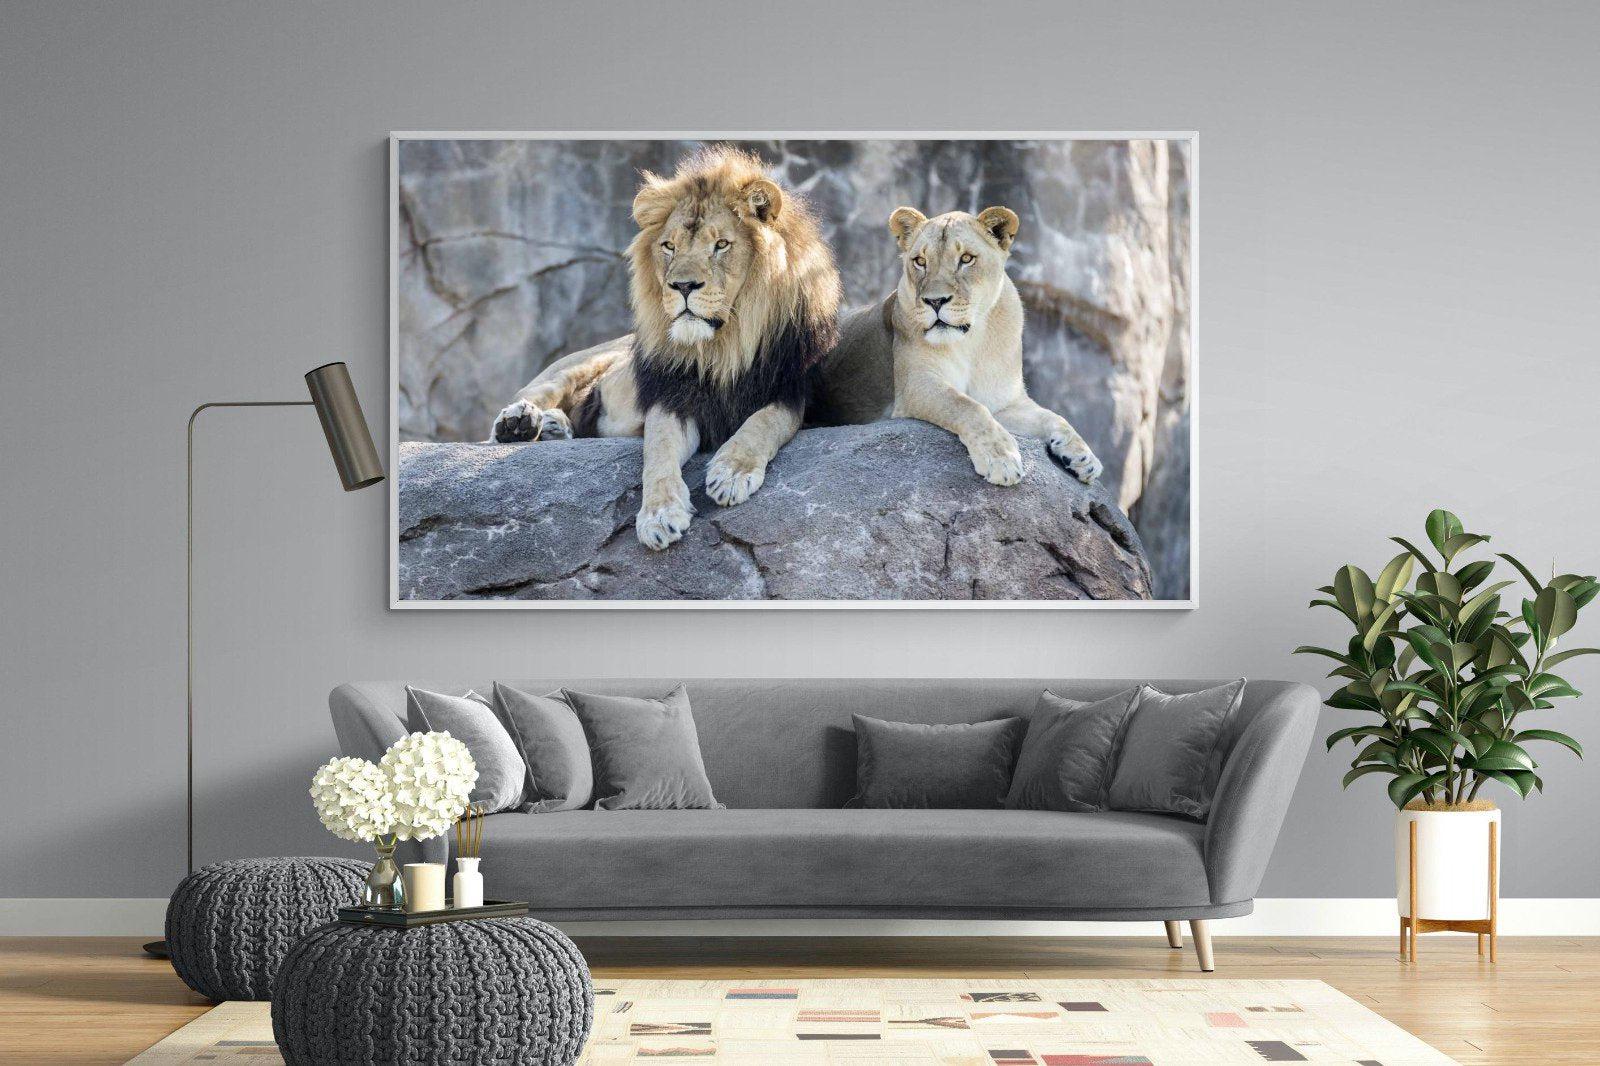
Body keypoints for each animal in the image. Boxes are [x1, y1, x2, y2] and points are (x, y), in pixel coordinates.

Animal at [490, 147, 841, 550]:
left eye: (721, 245)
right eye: (669, 246)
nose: (682, 286)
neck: (723, 347)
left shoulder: (791, 392)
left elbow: (764, 422)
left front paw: (731, 473)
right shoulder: (671, 397)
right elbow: (657, 451)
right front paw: (659, 515)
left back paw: (553, 426)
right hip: (575, 365)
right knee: (530, 397)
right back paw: (520, 423)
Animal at [816, 205, 1102, 487]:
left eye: (966, 259)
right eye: (920, 261)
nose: (935, 301)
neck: (972, 341)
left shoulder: (1005, 402)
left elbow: (1054, 417)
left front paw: (1084, 457)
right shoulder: (916, 385)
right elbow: (966, 406)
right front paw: (1001, 459)